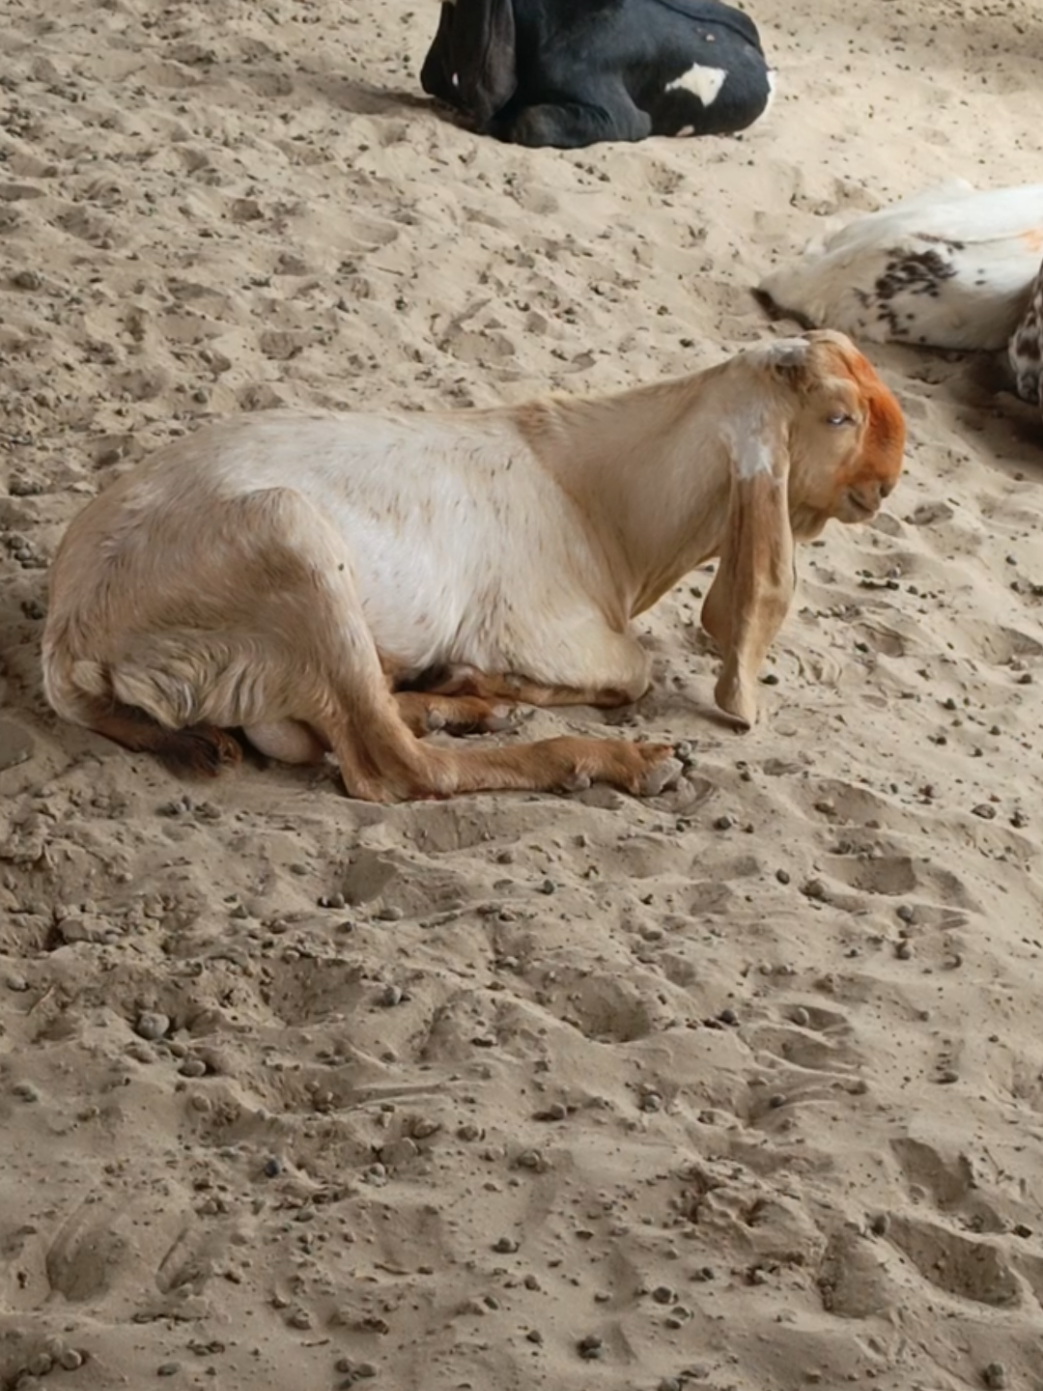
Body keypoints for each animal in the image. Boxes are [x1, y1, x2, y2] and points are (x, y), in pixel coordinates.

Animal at [42, 331, 905, 805]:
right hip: (290, 541)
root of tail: (70, 639)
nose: (889, 479)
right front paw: (486, 681)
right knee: (395, 766)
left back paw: (450, 705)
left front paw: (465, 686)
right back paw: (614, 761)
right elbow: (635, 671)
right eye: (837, 415)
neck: (600, 500)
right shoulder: (545, 628)